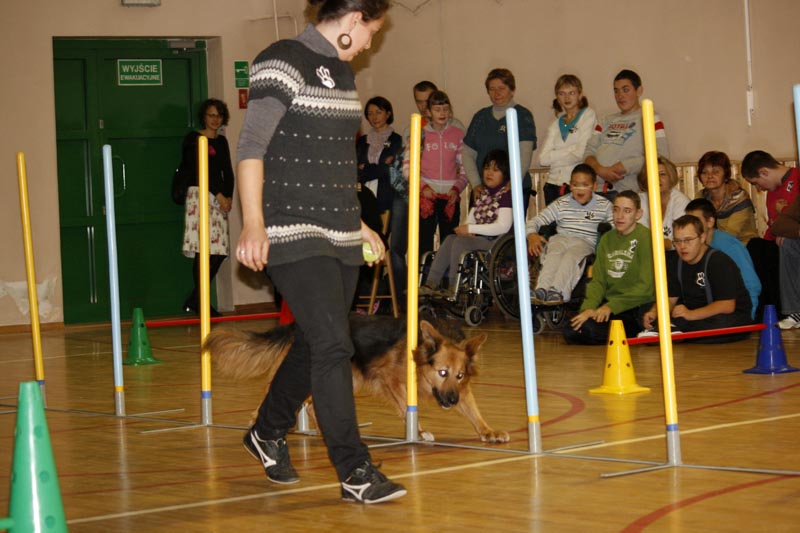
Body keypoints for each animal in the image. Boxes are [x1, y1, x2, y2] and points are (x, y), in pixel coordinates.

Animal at [204, 314, 510, 443]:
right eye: (442, 372)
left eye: (459, 375)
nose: (450, 401)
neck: (419, 356)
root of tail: (297, 328)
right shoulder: (391, 380)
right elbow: (406, 406)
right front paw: (420, 432)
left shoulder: (460, 391)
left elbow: (474, 411)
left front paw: (488, 431)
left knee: (312, 405)